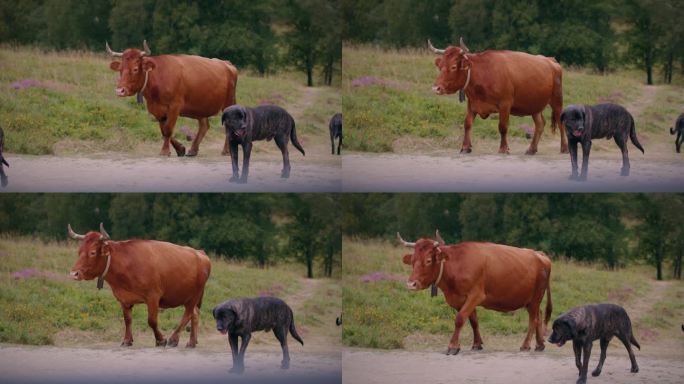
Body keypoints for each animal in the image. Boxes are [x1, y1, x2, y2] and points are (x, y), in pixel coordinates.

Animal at [68, 225, 211, 348]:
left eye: (92, 252)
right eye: (79, 252)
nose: (73, 274)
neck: (127, 264)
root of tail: (200, 253)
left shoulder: (153, 296)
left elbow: (152, 321)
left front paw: (160, 340)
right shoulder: (124, 299)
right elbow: (127, 320)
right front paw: (127, 340)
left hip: (194, 296)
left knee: (187, 315)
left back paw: (173, 339)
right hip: (189, 297)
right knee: (195, 315)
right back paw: (191, 342)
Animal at [105, 40, 236, 156]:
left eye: (135, 69)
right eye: (120, 69)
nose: (120, 90)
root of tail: (227, 64)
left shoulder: (174, 106)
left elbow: (168, 129)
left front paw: (165, 151)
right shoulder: (157, 110)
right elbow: (164, 131)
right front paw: (180, 149)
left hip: (229, 103)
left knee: (229, 125)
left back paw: (226, 151)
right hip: (201, 106)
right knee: (204, 125)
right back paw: (193, 150)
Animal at [398, 230, 552, 356]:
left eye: (428, 260)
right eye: (412, 261)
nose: (411, 284)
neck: (457, 264)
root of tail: (539, 254)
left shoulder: (476, 295)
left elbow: (460, 319)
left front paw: (453, 346)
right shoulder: (460, 299)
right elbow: (473, 321)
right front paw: (477, 344)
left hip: (536, 297)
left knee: (533, 319)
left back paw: (525, 345)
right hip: (530, 300)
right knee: (538, 316)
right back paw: (540, 344)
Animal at [428, 37, 568, 154]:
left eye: (453, 67)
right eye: (440, 66)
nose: (436, 88)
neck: (483, 73)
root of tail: (550, 60)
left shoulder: (505, 104)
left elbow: (503, 126)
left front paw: (503, 148)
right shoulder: (472, 103)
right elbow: (467, 124)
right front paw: (465, 147)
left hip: (557, 99)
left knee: (560, 122)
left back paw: (564, 148)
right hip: (534, 104)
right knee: (540, 124)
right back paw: (531, 149)